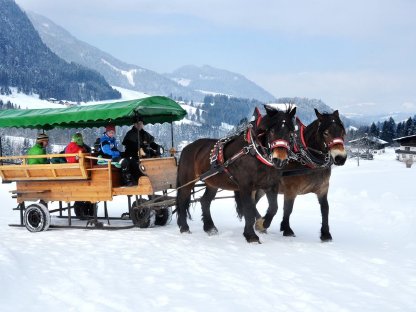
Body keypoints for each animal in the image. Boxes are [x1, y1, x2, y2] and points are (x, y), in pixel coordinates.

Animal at [176, 106, 296, 243]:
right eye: (271, 131)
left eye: (291, 132)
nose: (279, 159)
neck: (254, 153)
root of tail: (187, 148)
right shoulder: (245, 186)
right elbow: (248, 209)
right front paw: (251, 235)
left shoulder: (271, 185)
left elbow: (273, 208)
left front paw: (262, 224)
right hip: (187, 181)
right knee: (182, 200)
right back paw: (184, 227)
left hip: (213, 183)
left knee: (205, 201)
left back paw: (210, 228)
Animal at [249, 109, 346, 241]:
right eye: (326, 133)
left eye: (342, 131)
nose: (341, 158)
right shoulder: (290, 190)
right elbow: (288, 209)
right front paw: (286, 229)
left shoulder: (323, 189)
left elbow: (325, 208)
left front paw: (325, 234)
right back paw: (260, 222)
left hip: (262, 188)